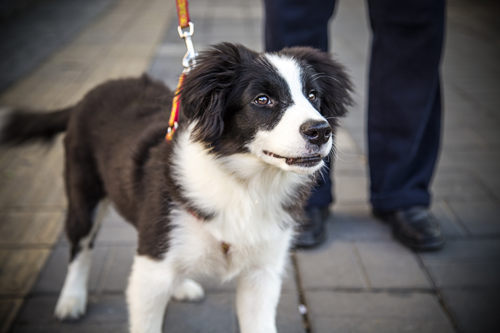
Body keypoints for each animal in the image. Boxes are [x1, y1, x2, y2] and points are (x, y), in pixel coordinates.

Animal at [0, 42, 352, 330]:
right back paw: (71, 300)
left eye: (313, 96)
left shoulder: (262, 272)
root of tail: (88, 95)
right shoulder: (149, 273)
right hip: (83, 195)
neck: (244, 185)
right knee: (80, 246)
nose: (320, 131)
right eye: (263, 99)